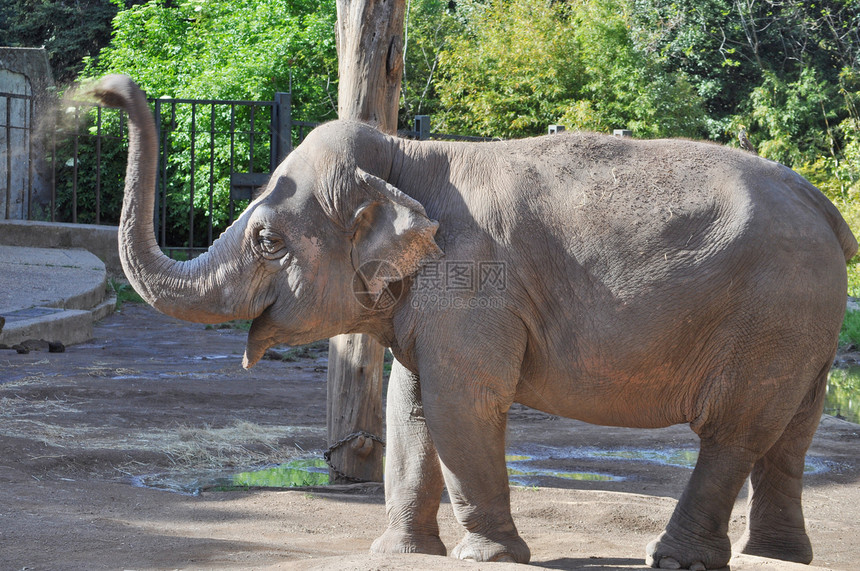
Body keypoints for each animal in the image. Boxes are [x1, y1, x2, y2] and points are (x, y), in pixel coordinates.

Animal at [90, 75, 856, 568]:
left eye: (268, 241)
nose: (106, 88)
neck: (407, 159)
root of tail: (826, 209)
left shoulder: (473, 284)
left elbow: (463, 403)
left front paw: (486, 556)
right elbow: (411, 405)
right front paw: (398, 553)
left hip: (770, 314)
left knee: (733, 431)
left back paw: (672, 560)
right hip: (806, 326)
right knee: (791, 433)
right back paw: (777, 557)